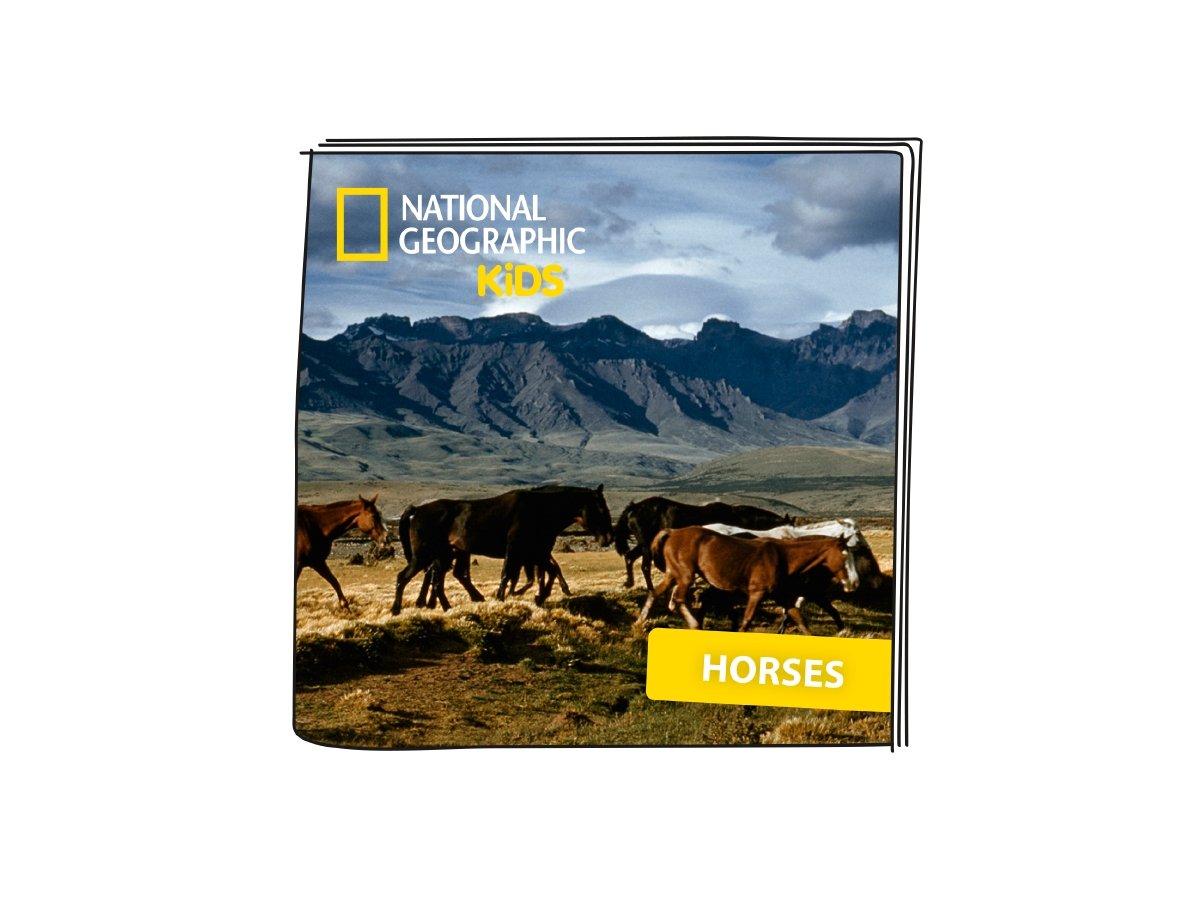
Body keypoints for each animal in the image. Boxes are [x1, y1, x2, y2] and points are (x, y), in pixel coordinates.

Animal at [391, 485, 612, 614]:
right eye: (601, 509)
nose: (608, 538)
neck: (540, 510)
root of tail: (418, 509)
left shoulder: (536, 553)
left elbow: (548, 572)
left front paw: (540, 597)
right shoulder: (518, 550)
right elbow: (509, 574)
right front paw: (501, 598)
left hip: (444, 554)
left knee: (438, 580)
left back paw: (447, 607)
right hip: (425, 554)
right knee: (405, 576)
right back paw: (397, 609)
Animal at [615, 496, 797, 595]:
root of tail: (634, 508)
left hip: (643, 544)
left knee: (630, 557)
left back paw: (629, 583)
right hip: (646, 544)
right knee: (645, 566)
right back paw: (651, 589)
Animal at [639, 526, 858, 632]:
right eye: (844, 555)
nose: (854, 583)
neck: (783, 558)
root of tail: (672, 532)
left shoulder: (783, 597)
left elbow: (802, 622)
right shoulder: (756, 593)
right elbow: (746, 622)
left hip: (673, 574)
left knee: (655, 593)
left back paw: (640, 622)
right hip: (685, 575)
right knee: (678, 599)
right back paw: (694, 625)